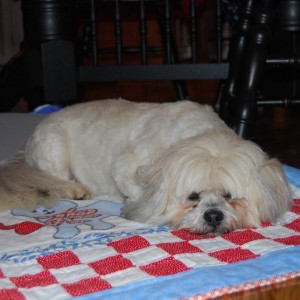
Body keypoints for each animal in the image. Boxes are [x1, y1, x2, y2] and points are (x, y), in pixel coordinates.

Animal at [0, 99, 292, 233]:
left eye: (230, 197)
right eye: (193, 197)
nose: (213, 216)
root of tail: (26, 144)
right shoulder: (124, 167)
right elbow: (137, 191)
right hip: (54, 146)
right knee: (54, 179)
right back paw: (76, 190)